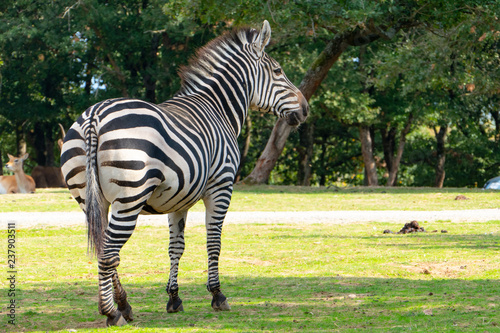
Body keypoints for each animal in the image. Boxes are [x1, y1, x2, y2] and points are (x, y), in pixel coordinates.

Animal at [60, 20, 306, 324]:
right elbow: (214, 241)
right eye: (278, 71)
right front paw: (217, 295)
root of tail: (95, 115)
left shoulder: (178, 198)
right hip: (129, 199)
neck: (219, 109)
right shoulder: (221, 186)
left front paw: (174, 298)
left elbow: (175, 246)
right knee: (108, 254)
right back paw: (112, 312)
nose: (306, 109)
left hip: (90, 199)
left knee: (103, 249)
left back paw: (124, 305)